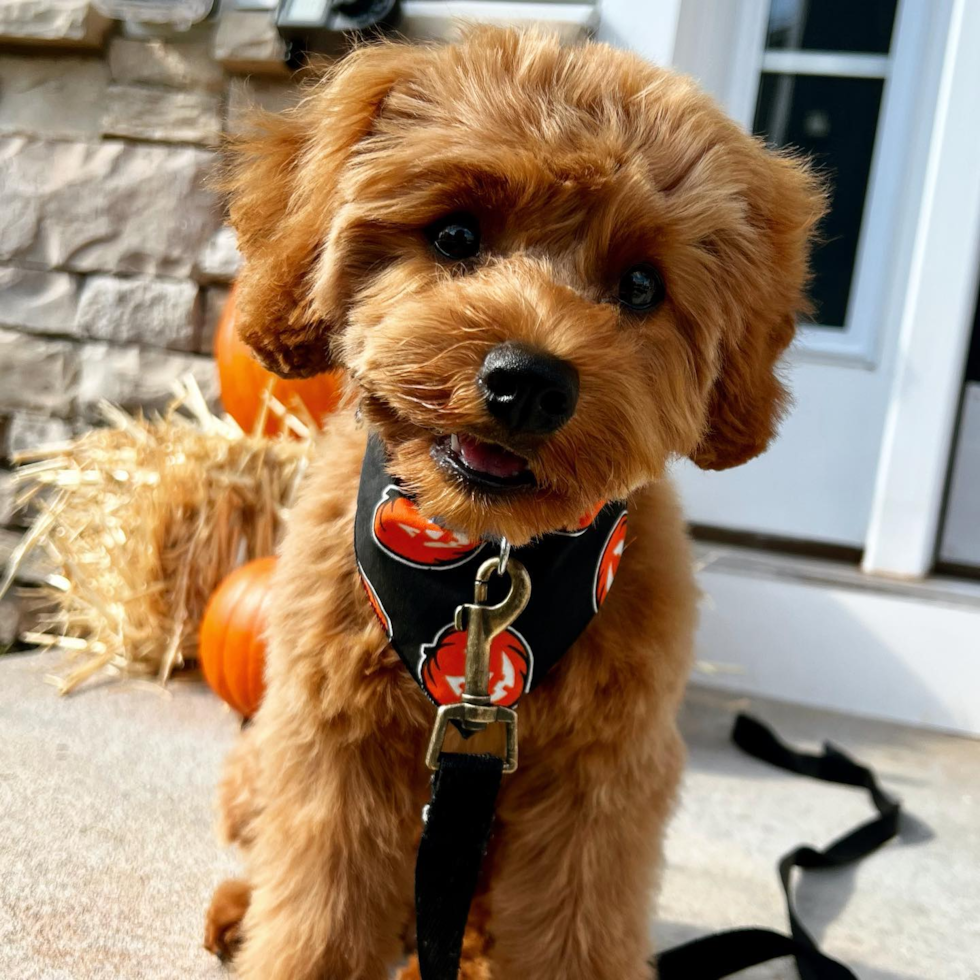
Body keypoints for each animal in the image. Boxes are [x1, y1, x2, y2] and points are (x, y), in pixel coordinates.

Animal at [207, 26, 828, 980]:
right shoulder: (335, 749)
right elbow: (318, 914)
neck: (485, 564)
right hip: (260, 759)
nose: (530, 382)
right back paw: (242, 911)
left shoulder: (601, 785)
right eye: (456, 234)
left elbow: (576, 934)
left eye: (641, 286)